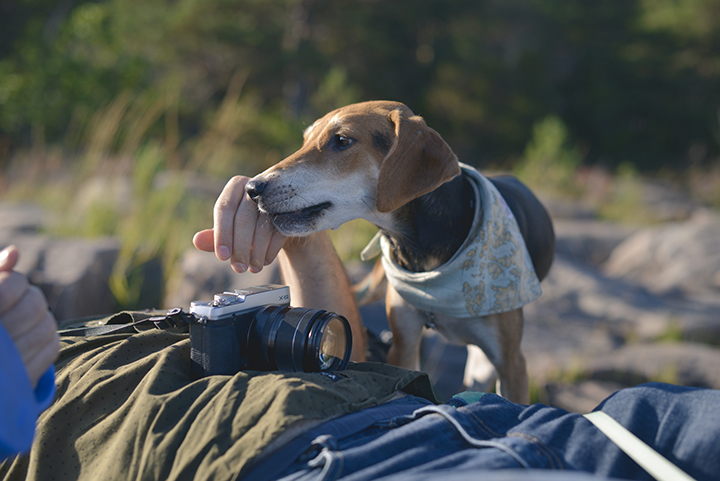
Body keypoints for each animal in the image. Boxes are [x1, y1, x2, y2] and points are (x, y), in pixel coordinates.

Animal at [245, 100, 556, 402]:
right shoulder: (403, 345)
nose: (252, 187)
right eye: (305, 141)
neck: (426, 260)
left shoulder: (512, 363)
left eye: (342, 140)